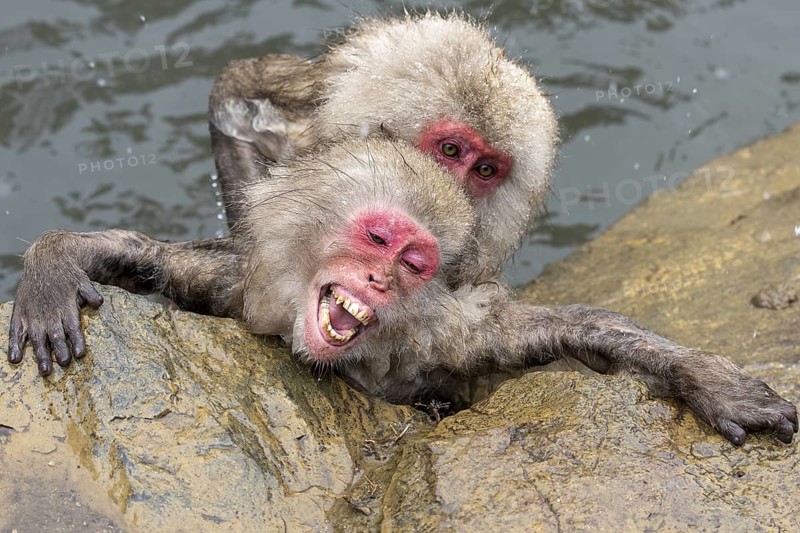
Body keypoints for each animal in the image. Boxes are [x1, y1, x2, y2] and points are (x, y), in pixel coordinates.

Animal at [6, 139, 797, 447]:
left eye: (415, 262)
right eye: (379, 239)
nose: (380, 279)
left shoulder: (450, 331)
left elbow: (575, 329)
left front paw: (707, 380)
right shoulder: (239, 283)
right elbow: (167, 264)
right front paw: (56, 261)